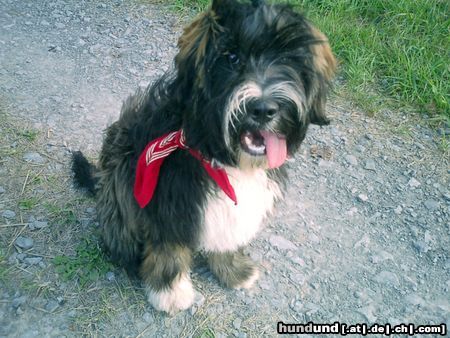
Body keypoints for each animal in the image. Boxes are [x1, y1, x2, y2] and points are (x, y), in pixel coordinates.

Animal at [72, 0, 336, 314]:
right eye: (231, 57)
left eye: (286, 57)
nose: (263, 109)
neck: (222, 157)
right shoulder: (169, 204)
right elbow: (169, 249)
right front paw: (170, 292)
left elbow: (228, 237)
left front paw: (234, 270)